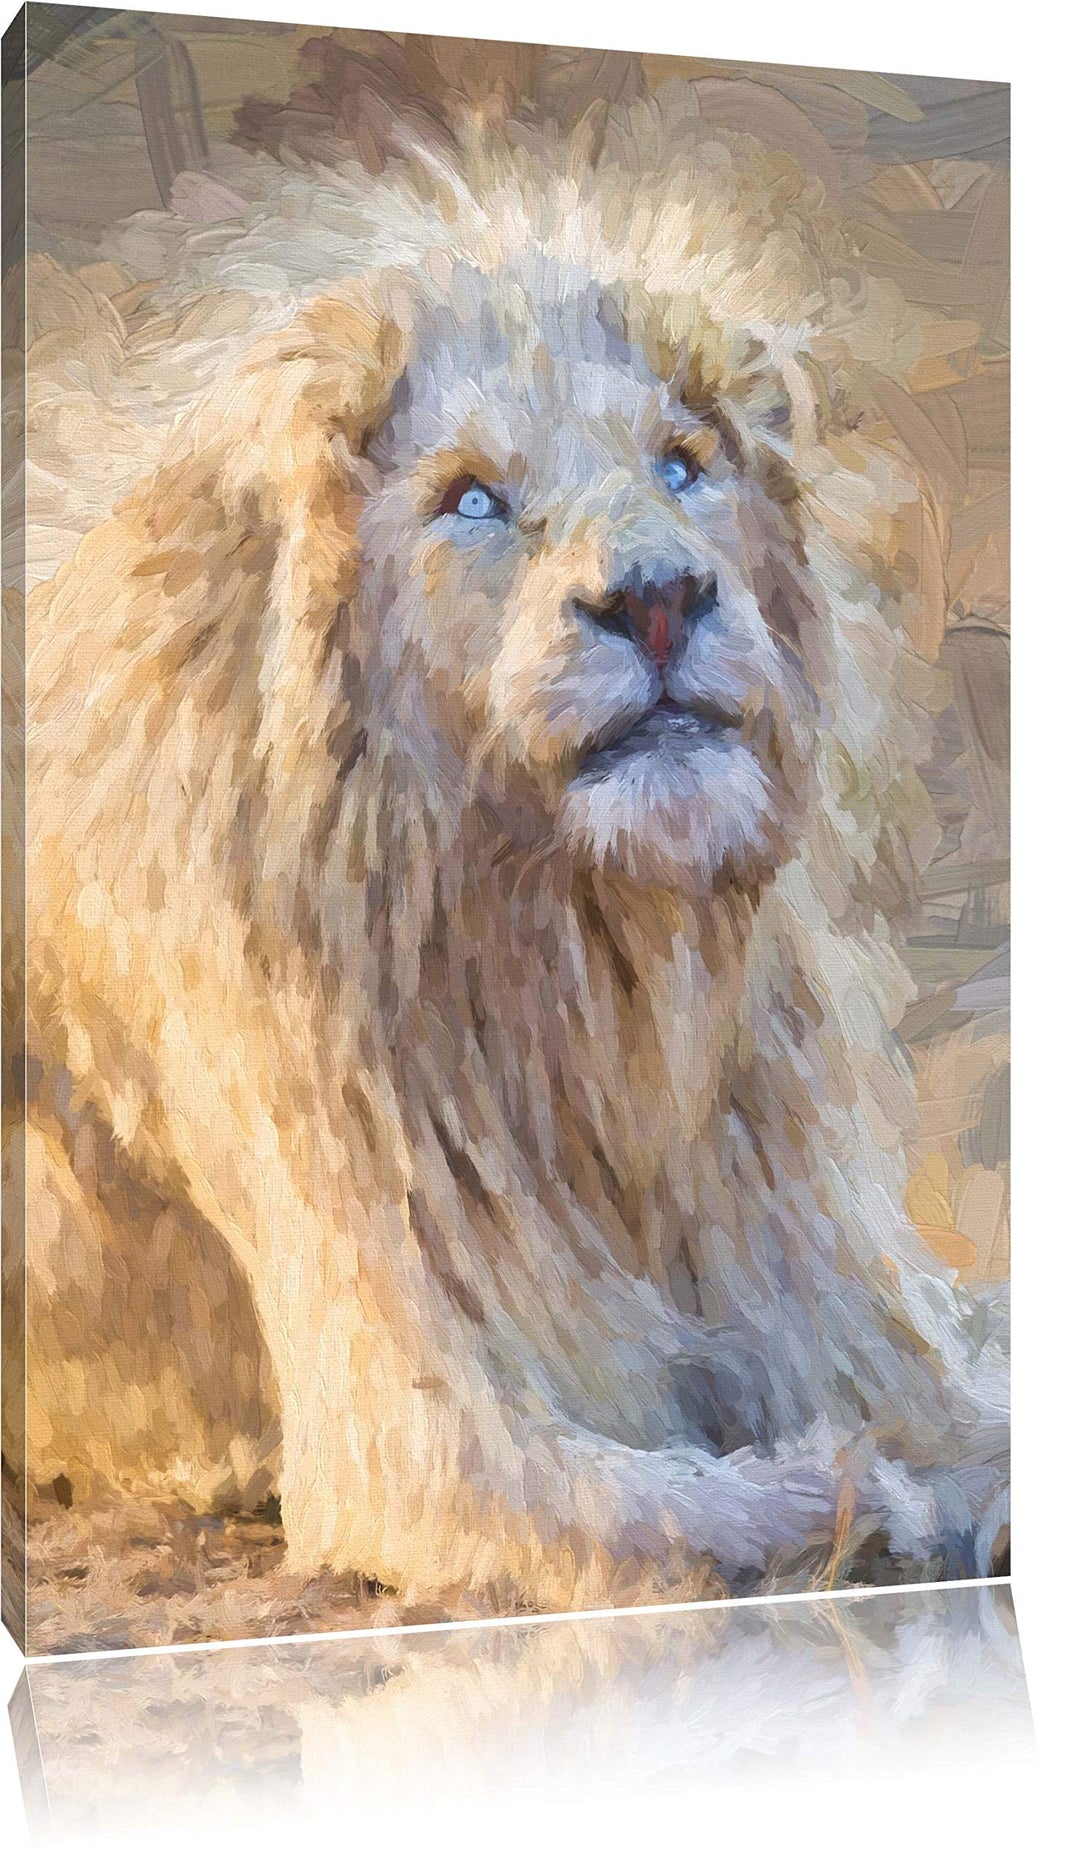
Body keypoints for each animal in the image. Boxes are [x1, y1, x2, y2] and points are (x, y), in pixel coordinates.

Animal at [13, 84, 1007, 1634]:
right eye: (473, 501)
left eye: (682, 466)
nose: (657, 599)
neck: (576, 962)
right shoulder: (424, 1441)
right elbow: (717, 1509)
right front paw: (873, 1501)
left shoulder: (828, 1288)